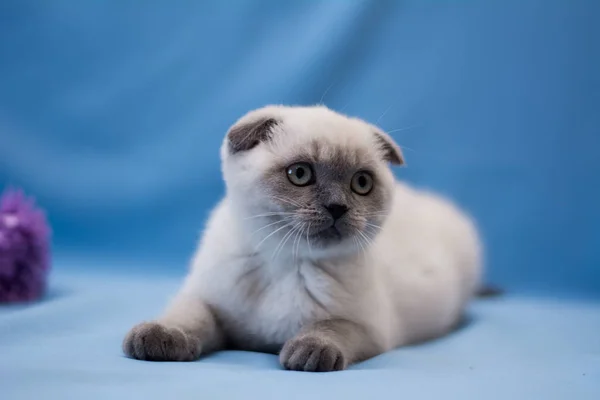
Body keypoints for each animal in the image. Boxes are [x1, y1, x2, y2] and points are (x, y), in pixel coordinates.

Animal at [122, 105, 482, 372]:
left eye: (361, 183)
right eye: (300, 174)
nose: (337, 207)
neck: (285, 260)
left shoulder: (369, 329)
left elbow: (329, 327)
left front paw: (308, 351)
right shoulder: (210, 302)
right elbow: (188, 317)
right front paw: (158, 337)